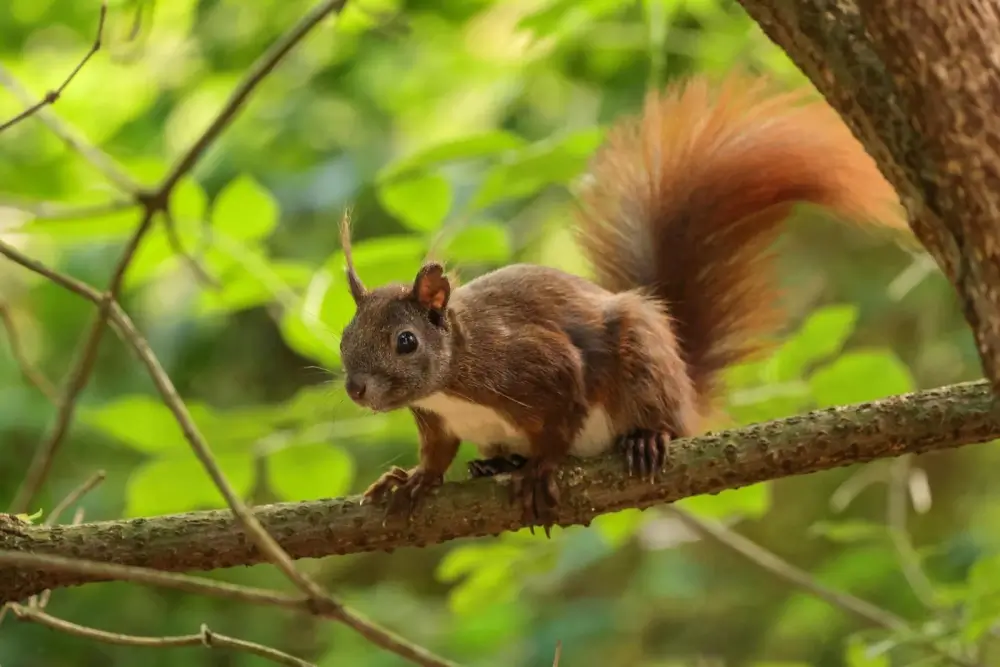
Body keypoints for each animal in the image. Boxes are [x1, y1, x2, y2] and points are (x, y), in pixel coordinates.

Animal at [334, 73, 908, 532]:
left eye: (406, 341)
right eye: (344, 338)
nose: (356, 389)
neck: (453, 379)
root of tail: (686, 393)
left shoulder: (537, 365)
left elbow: (561, 416)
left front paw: (541, 468)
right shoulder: (436, 420)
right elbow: (436, 455)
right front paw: (412, 480)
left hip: (642, 360)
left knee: (659, 416)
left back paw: (643, 439)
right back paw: (495, 466)